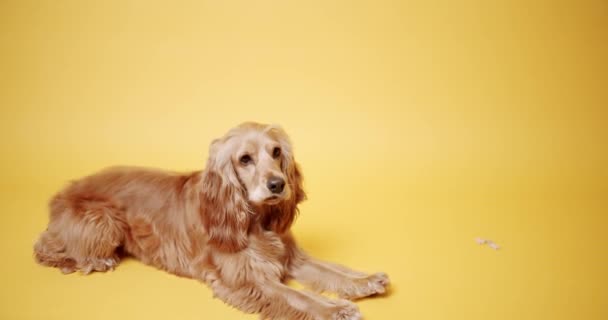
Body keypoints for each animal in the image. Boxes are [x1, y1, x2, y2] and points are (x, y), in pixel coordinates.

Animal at [34, 122, 390, 320]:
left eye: (276, 152)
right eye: (245, 159)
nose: (278, 185)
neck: (254, 220)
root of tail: (62, 190)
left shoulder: (290, 257)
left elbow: (331, 271)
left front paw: (365, 280)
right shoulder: (248, 279)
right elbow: (298, 296)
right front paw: (335, 309)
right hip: (101, 221)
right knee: (46, 246)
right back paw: (91, 260)